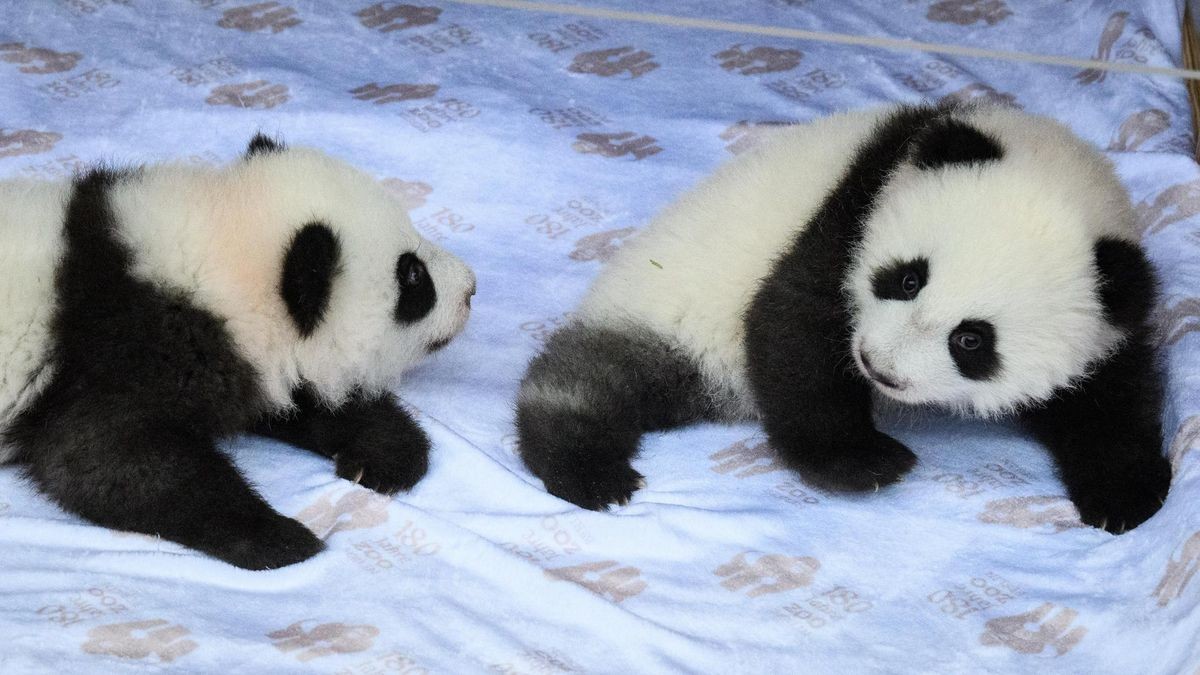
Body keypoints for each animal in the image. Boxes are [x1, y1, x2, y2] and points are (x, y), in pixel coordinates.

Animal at [0, 135, 476, 569]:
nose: (472, 289)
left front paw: (385, 454)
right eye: (412, 275)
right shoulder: (121, 350)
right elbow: (100, 460)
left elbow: (300, 399)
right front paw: (279, 538)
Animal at [517, 103, 1172, 534]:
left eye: (972, 340)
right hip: (665, 307)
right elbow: (792, 325)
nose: (877, 367)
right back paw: (589, 469)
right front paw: (862, 461)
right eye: (908, 278)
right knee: (591, 383)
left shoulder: (1112, 310)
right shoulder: (855, 205)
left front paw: (1123, 494)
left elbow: (1109, 395)